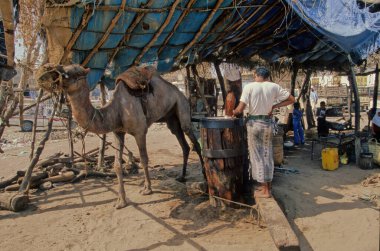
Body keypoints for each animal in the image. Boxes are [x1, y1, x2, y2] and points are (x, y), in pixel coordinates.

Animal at [36, 63, 205, 209]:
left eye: (73, 73)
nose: (45, 75)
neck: (116, 110)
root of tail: (180, 92)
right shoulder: (118, 132)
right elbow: (117, 166)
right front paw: (121, 201)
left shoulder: (140, 131)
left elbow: (144, 159)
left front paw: (147, 189)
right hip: (170, 118)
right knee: (183, 144)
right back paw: (182, 176)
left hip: (182, 106)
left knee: (194, 140)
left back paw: (203, 174)